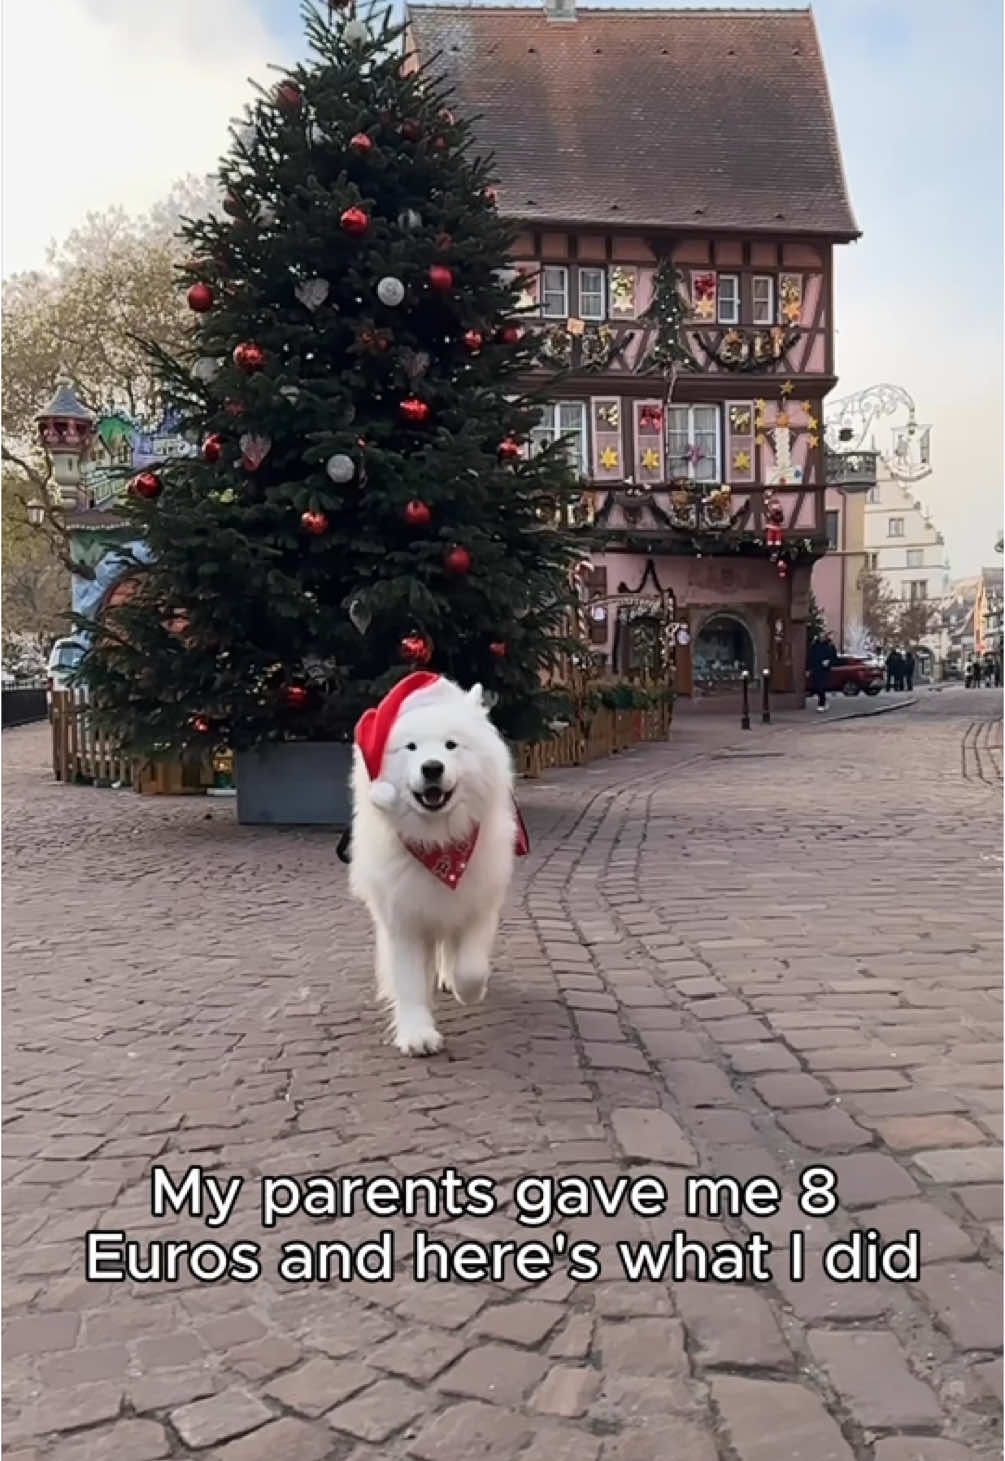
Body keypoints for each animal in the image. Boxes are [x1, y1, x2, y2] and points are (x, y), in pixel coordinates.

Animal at [349, 669, 525, 1057]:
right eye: (411, 748)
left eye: (450, 745)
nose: (432, 768)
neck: (439, 846)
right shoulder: (403, 920)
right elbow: (410, 982)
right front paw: (417, 1034)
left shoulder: (477, 904)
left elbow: (471, 968)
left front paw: (466, 990)